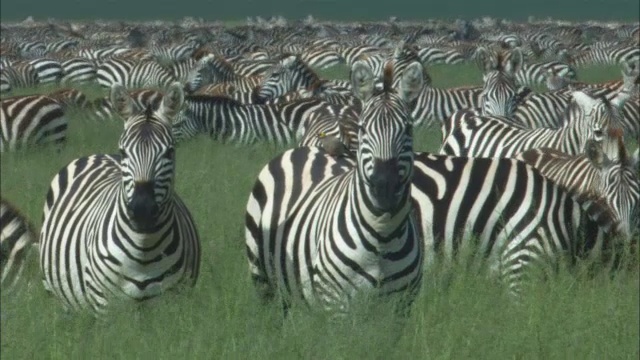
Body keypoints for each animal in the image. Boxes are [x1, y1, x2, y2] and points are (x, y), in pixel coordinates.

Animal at [38, 81, 199, 316]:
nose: (142, 211)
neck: (144, 248)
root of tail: (98, 154)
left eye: (170, 152)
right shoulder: (105, 306)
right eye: (123, 152)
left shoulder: (175, 303)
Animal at [244, 61, 424, 316]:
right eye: (363, 129)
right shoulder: (336, 304)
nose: (384, 188)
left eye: (408, 129)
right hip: (264, 281)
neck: (383, 236)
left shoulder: (400, 307)